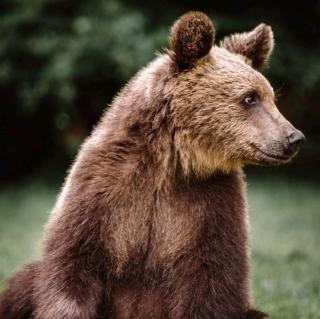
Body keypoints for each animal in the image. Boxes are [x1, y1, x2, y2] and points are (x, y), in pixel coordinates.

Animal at [0, 11, 304, 318]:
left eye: (271, 97)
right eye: (250, 97)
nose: (294, 137)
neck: (171, 160)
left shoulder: (210, 203)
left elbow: (211, 278)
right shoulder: (101, 192)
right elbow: (73, 267)